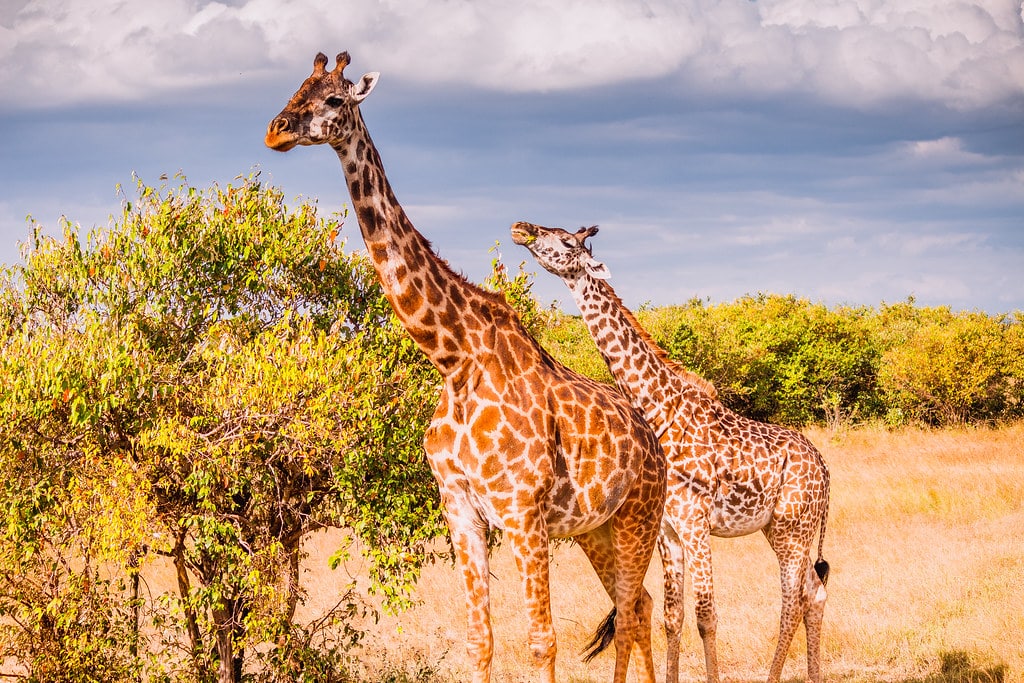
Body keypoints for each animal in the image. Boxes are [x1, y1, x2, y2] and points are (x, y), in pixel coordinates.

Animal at [265, 53, 666, 683]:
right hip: (595, 528)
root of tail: (654, 440)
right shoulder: (460, 508)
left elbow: (542, 642)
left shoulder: (523, 513)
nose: (276, 130)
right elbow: (480, 638)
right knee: (639, 605)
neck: (453, 359)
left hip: (639, 517)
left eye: (333, 99)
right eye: (297, 86)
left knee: (630, 609)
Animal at [511, 221, 831, 683]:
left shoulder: (696, 523)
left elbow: (707, 615)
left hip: (793, 529)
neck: (659, 409)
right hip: (783, 529)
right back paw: (813, 675)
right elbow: (672, 616)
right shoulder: (668, 530)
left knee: (792, 600)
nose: (523, 230)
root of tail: (825, 468)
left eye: (567, 241)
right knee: (814, 592)